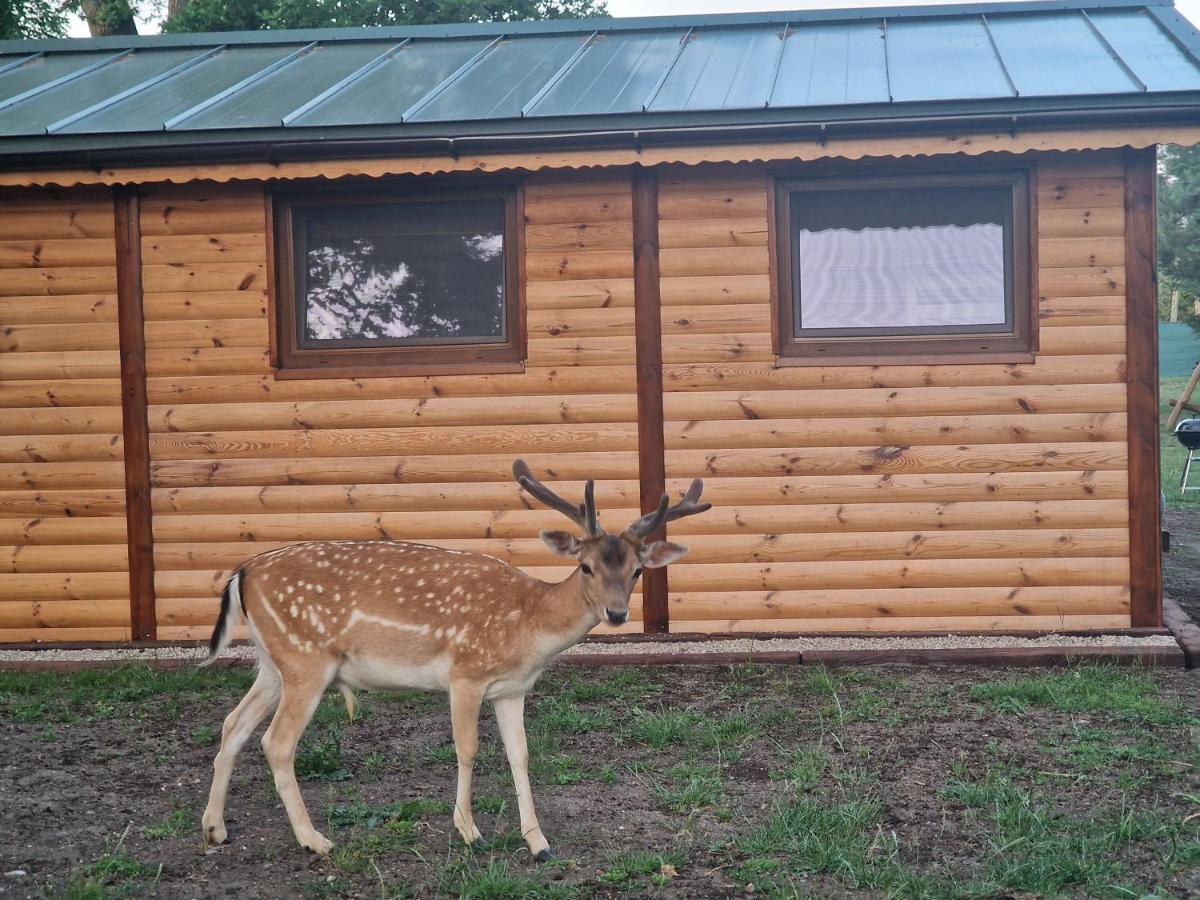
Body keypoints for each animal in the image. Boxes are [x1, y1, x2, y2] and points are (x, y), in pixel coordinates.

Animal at [195, 460, 700, 864]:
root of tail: (241, 573)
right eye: (586, 566)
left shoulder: (512, 689)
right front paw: (468, 830)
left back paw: (215, 828)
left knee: (232, 724)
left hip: (272, 662)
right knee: (277, 742)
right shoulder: (465, 673)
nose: (616, 614)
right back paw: (314, 840)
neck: (527, 627)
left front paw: (538, 842)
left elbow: (520, 754)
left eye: (637, 571)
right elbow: (467, 749)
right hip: (306, 659)